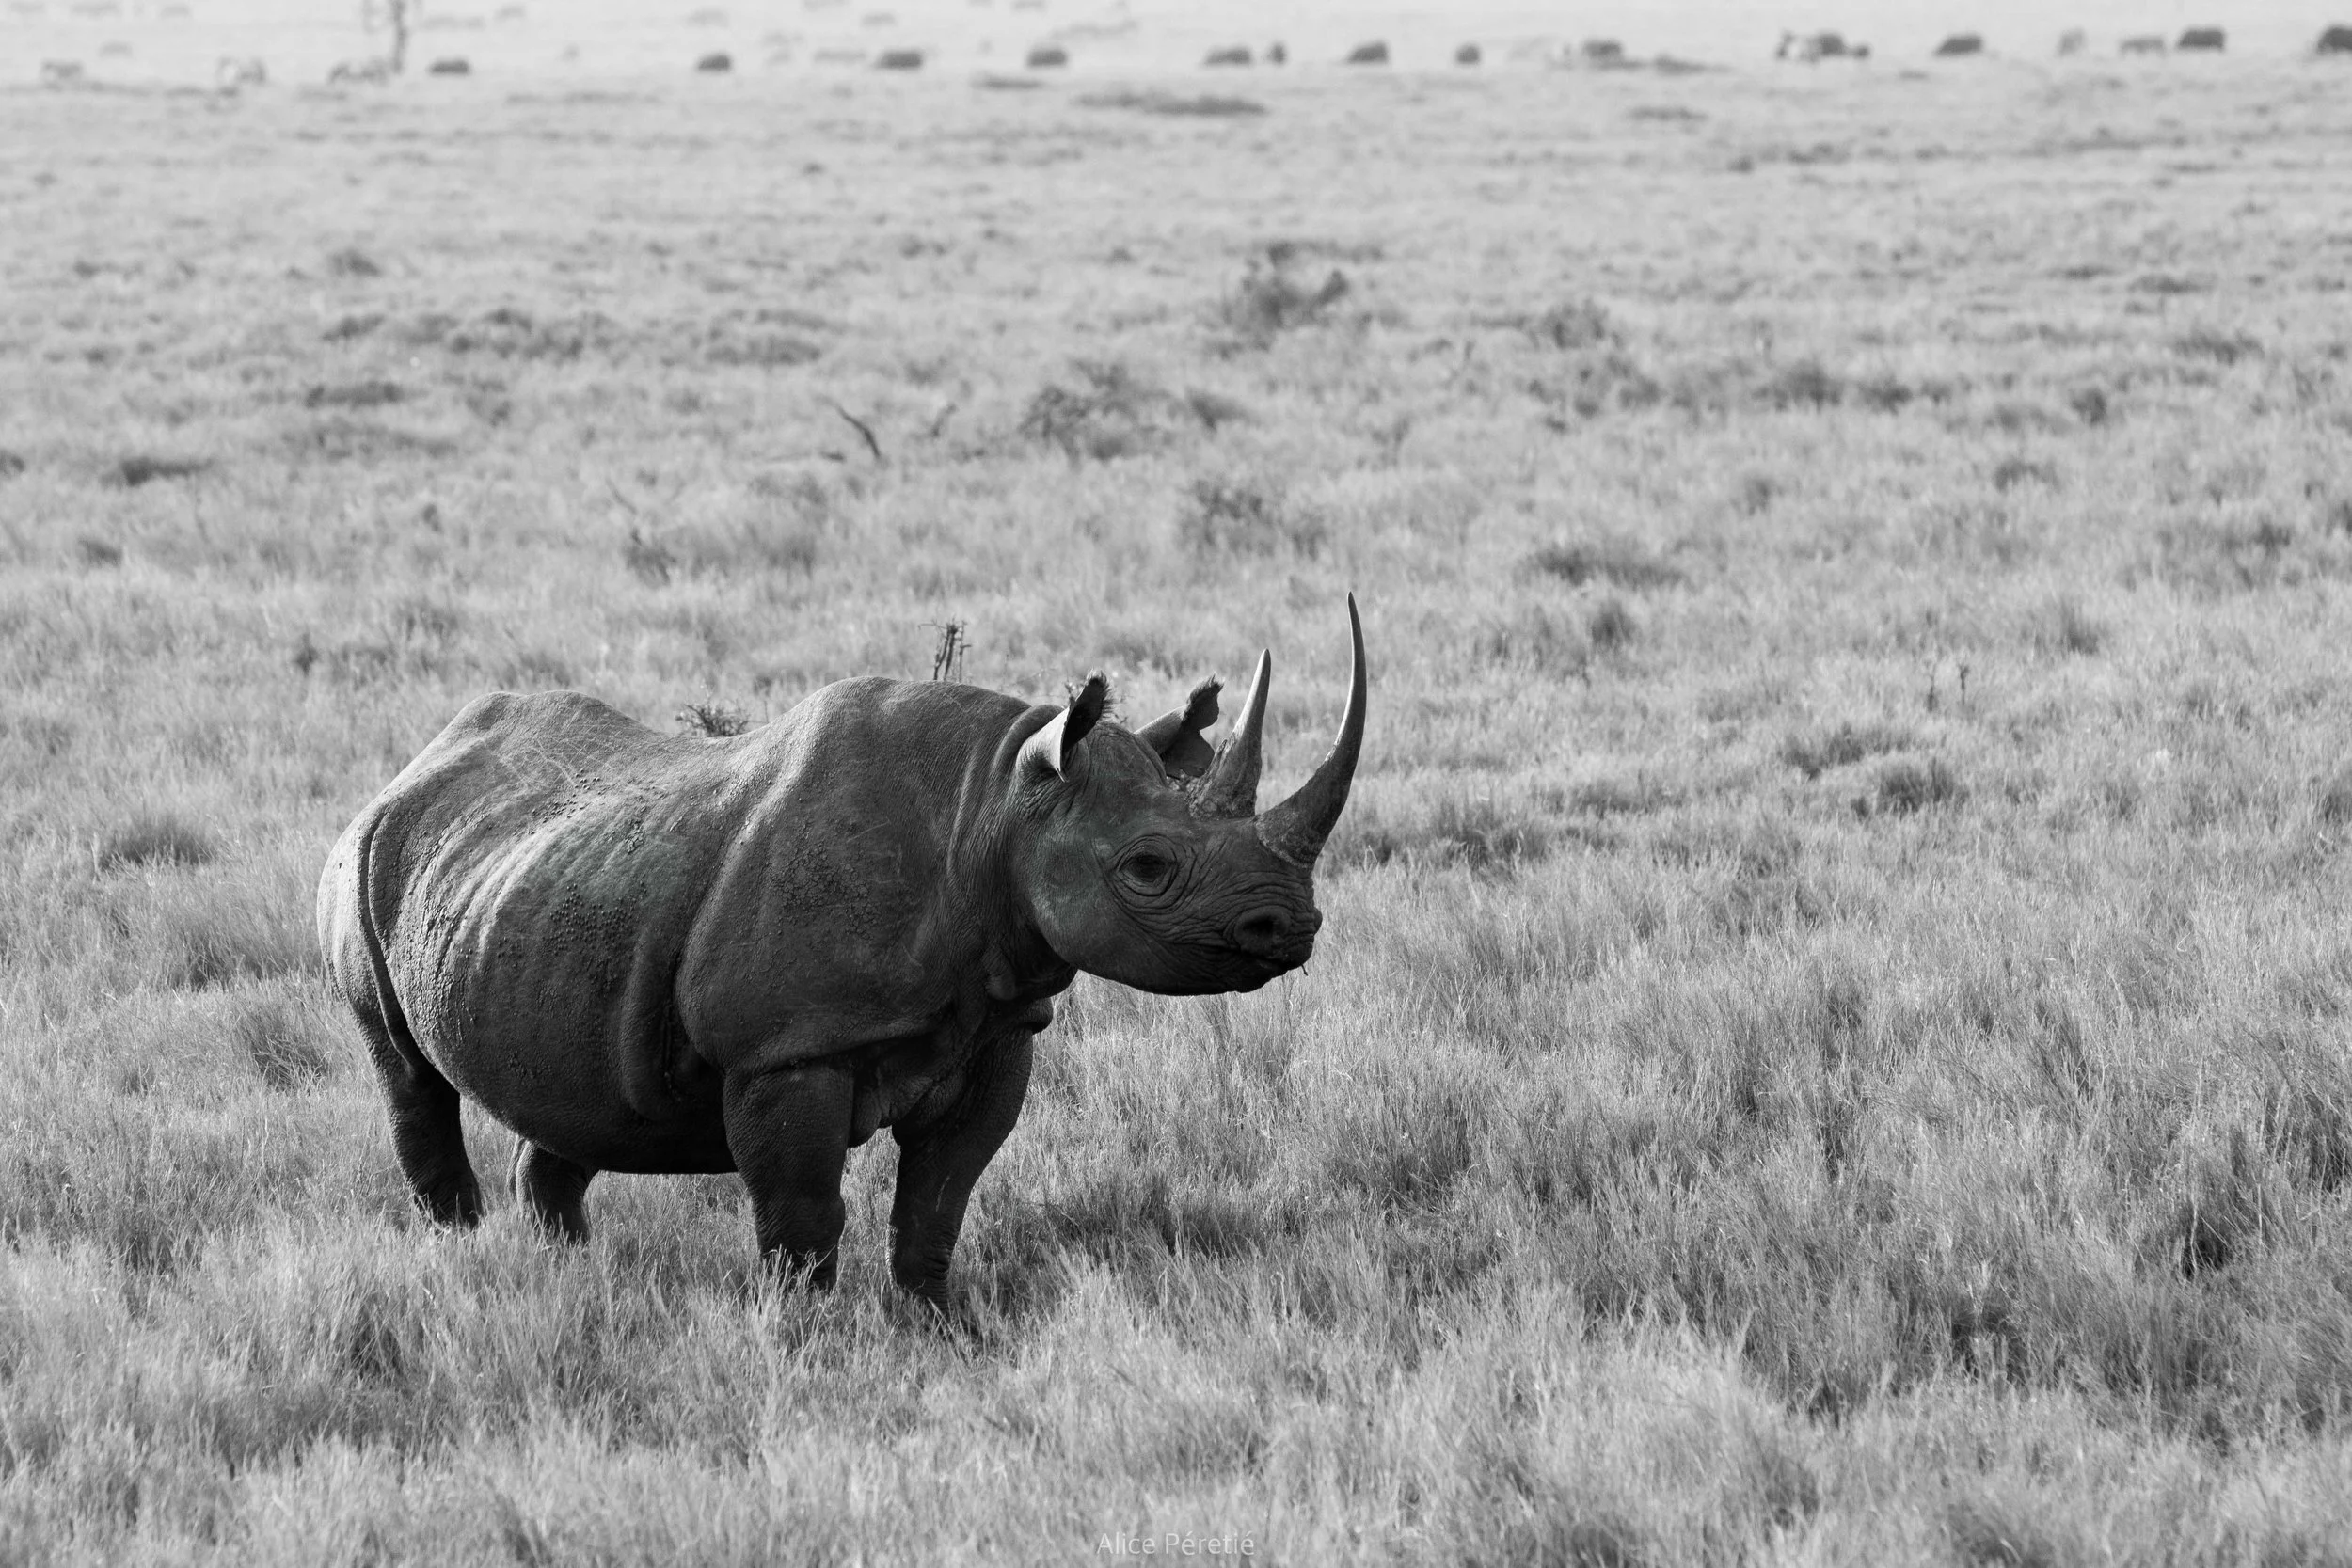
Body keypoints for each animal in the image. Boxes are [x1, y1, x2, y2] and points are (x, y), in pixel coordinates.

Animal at [318, 599, 1366, 1304]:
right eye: (1147, 867)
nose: (1290, 925)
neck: (997, 807)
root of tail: (417, 759)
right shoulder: (787, 1049)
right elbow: (803, 1214)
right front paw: (805, 1335)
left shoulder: (997, 1027)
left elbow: (938, 1199)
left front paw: (937, 1326)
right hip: (363, 858)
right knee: (404, 1068)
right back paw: (465, 1258)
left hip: (536, 890)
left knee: (572, 1099)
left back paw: (569, 1271)